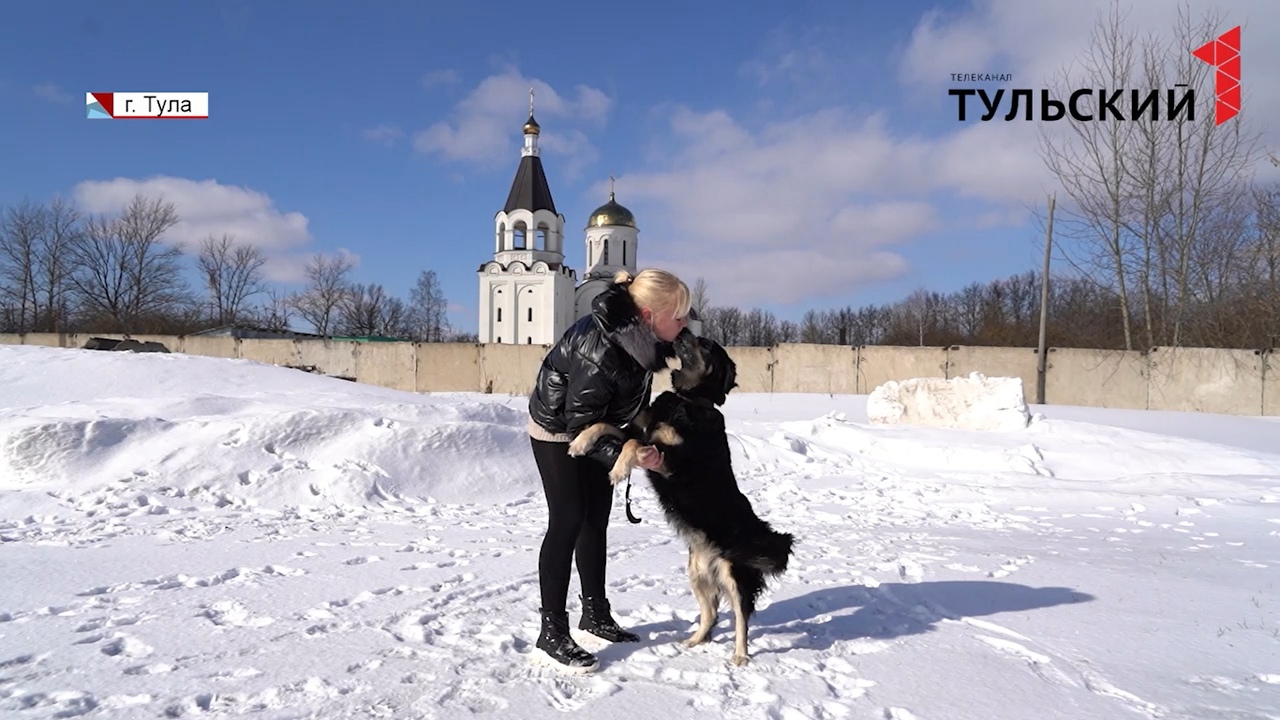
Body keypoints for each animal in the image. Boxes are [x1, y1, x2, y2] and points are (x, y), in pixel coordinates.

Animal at [568, 327, 788, 666]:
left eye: (706, 344)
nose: (684, 330)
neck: (688, 399)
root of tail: (759, 534)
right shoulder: (641, 430)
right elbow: (608, 425)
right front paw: (580, 441)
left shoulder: (670, 460)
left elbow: (631, 445)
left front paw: (617, 470)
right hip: (697, 572)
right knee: (711, 614)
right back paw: (695, 640)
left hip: (734, 574)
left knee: (741, 617)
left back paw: (739, 655)